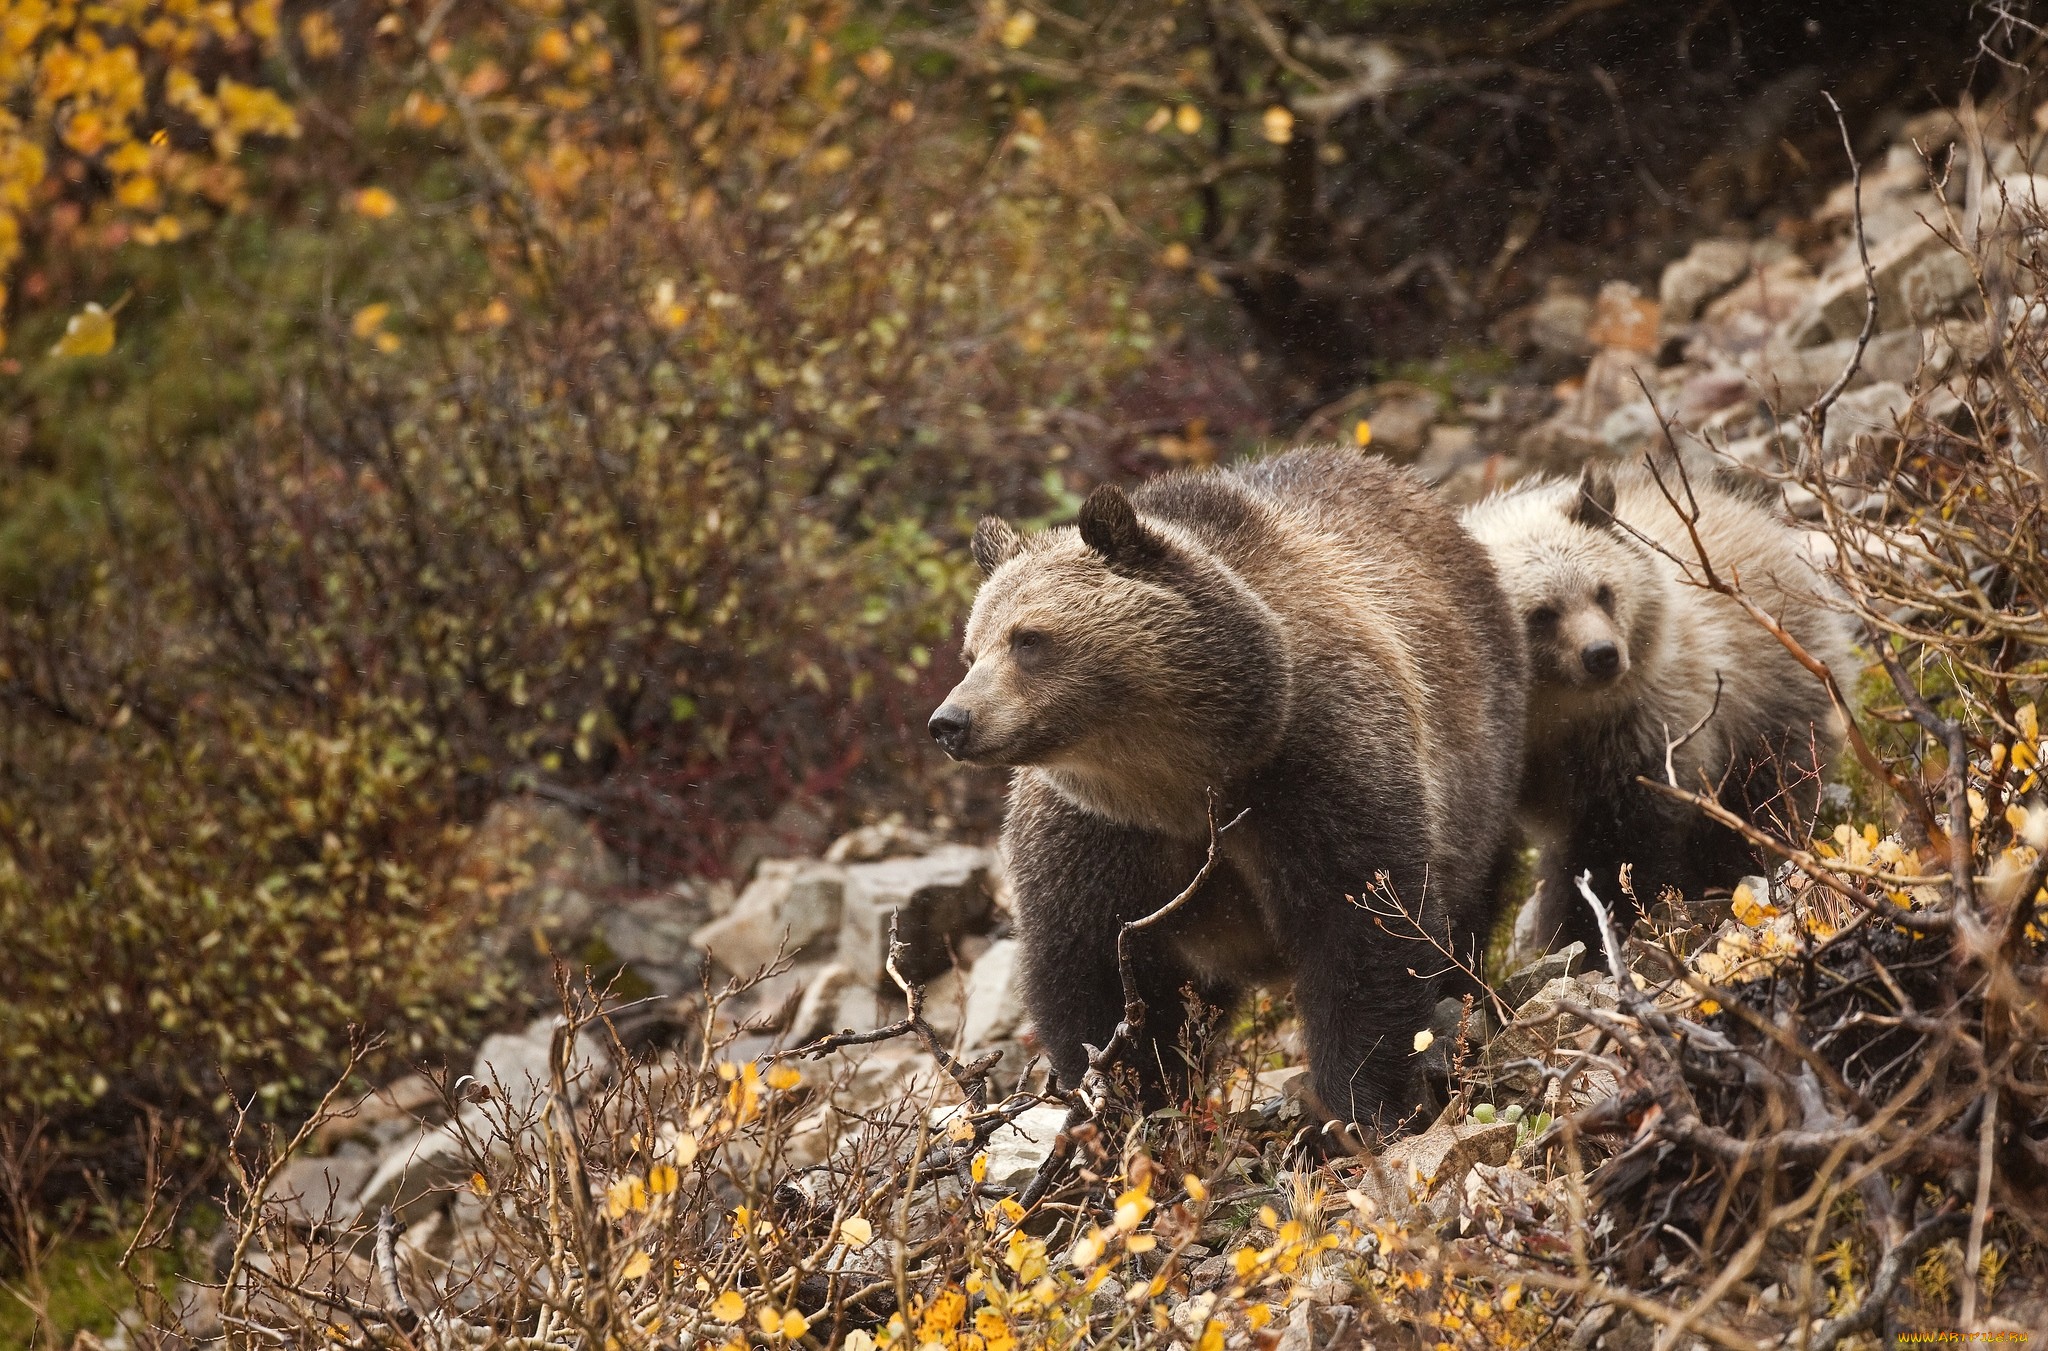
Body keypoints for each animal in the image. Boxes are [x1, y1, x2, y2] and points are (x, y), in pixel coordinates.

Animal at [929, 448, 1523, 1138]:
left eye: (1029, 639)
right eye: (971, 649)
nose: (951, 721)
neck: (1183, 780)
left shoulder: (1317, 766)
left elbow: (1364, 931)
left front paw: (1362, 1105)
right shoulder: (1096, 835)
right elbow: (1092, 974)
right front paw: (1127, 1105)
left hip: (1484, 761)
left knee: (1468, 908)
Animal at [1458, 464, 1859, 949]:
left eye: (1602, 591)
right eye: (1541, 613)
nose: (1602, 654)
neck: (1551, 716)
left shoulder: (1641, 732)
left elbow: (1623, 843)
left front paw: (1601, 926)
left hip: (1771, 693)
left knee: (1762, 795)